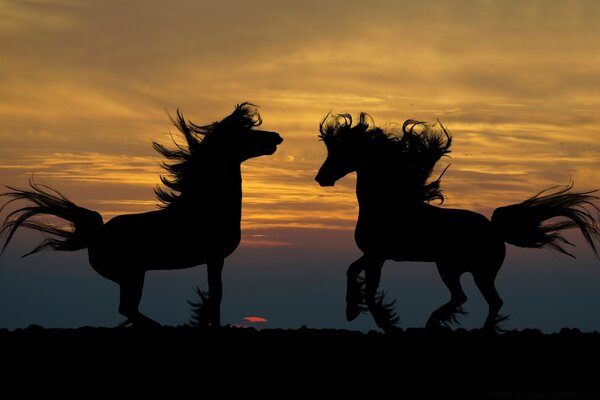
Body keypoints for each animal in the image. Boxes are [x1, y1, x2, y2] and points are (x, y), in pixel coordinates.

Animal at [1, 103, 282, 328]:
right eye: (245, 133)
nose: (277, 137)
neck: (205, 205)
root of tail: (96, 233)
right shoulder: (214, 258)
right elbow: (215, 297)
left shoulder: (216, 260)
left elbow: (215, 296)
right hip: (133, 275)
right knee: (127, 308)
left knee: (129, 310)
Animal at [316, 111, 596, 332]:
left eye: (342, 150)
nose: (321, 178)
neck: (387, 204)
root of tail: (494, 229)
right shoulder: (375, 255)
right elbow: (352, 271)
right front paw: (351, 311)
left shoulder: (378, 256)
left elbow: (372, 294)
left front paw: (386, 324)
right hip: (474, 272)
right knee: (488, 301)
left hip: (454, 268)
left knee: (468, 298)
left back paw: (436, 323)